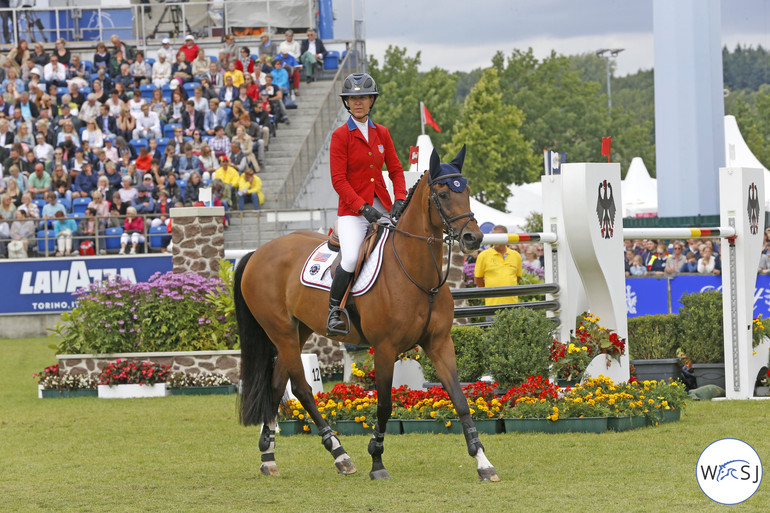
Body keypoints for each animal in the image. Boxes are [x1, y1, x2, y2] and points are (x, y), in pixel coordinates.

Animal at [231, 144, 500, 480]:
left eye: (467, 191)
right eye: (442, 193)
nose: (473, 238)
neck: (416, 274)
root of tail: (258, 252)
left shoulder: (439, 343)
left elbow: (460, 400)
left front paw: (483, 462)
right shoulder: (384, 348)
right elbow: (384, 405)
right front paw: (377, 460)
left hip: (297, 330)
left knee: (279, 384)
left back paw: (269, 455)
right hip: (279, 330)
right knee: (302, 388)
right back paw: (339, 453)